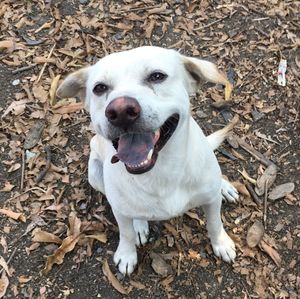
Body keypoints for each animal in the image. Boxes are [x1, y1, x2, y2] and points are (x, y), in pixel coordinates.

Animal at [56, 47, 239, 276]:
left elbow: (214, 223)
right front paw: (127, 254)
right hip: (95, 175)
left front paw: (221, 243)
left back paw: (224, 186)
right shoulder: (119, 209)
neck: (161, 171)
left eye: (157, 76)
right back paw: (139, 225)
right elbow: (125, 233)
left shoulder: (211, 201)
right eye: (99, 88)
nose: (121, 111)